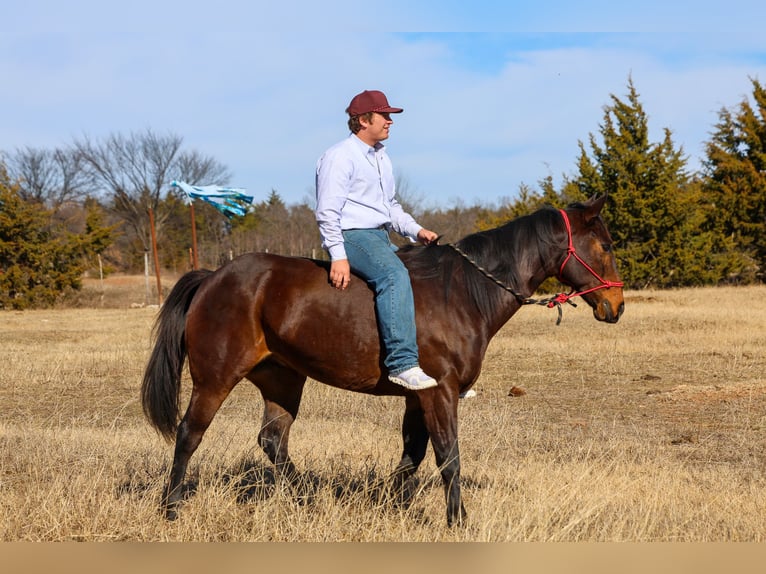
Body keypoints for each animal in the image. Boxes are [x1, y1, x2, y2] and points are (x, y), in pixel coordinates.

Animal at [141, 193, 624, 526]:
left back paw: (308, 500)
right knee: (189, 434)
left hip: (283, 380)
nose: (616, 305)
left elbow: (412, 455)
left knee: (273, 440)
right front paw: (457, 520)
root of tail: (213, 277)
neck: (461, 292)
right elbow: (447, 456)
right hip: (215, 379)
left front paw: (394, 507)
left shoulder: (417, 397)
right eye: (603, 245)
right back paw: (170, 507)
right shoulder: (440, 392)